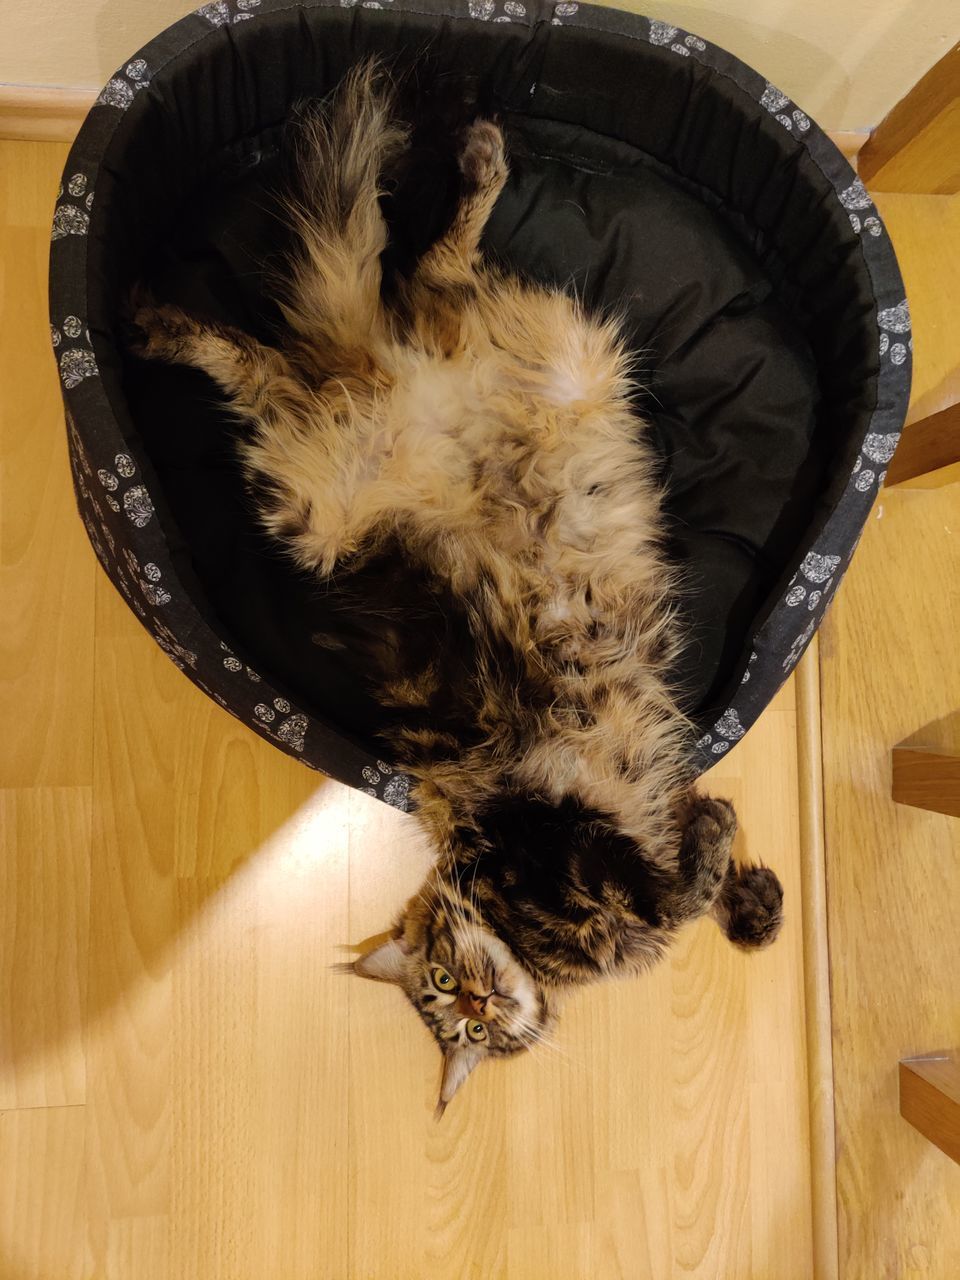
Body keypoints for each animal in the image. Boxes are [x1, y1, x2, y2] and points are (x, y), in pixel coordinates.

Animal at [129, 60, 788, 1116]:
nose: (478, 1003)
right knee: (346, 311)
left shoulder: (566, 834)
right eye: (446, 1003)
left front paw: (751, 900)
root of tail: (395, 391)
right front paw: (727, 868)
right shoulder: (555, 848)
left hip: (323, 495)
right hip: (311, 492)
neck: (512, 923)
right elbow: (663, 889)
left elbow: (679, 876)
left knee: (374, 295)